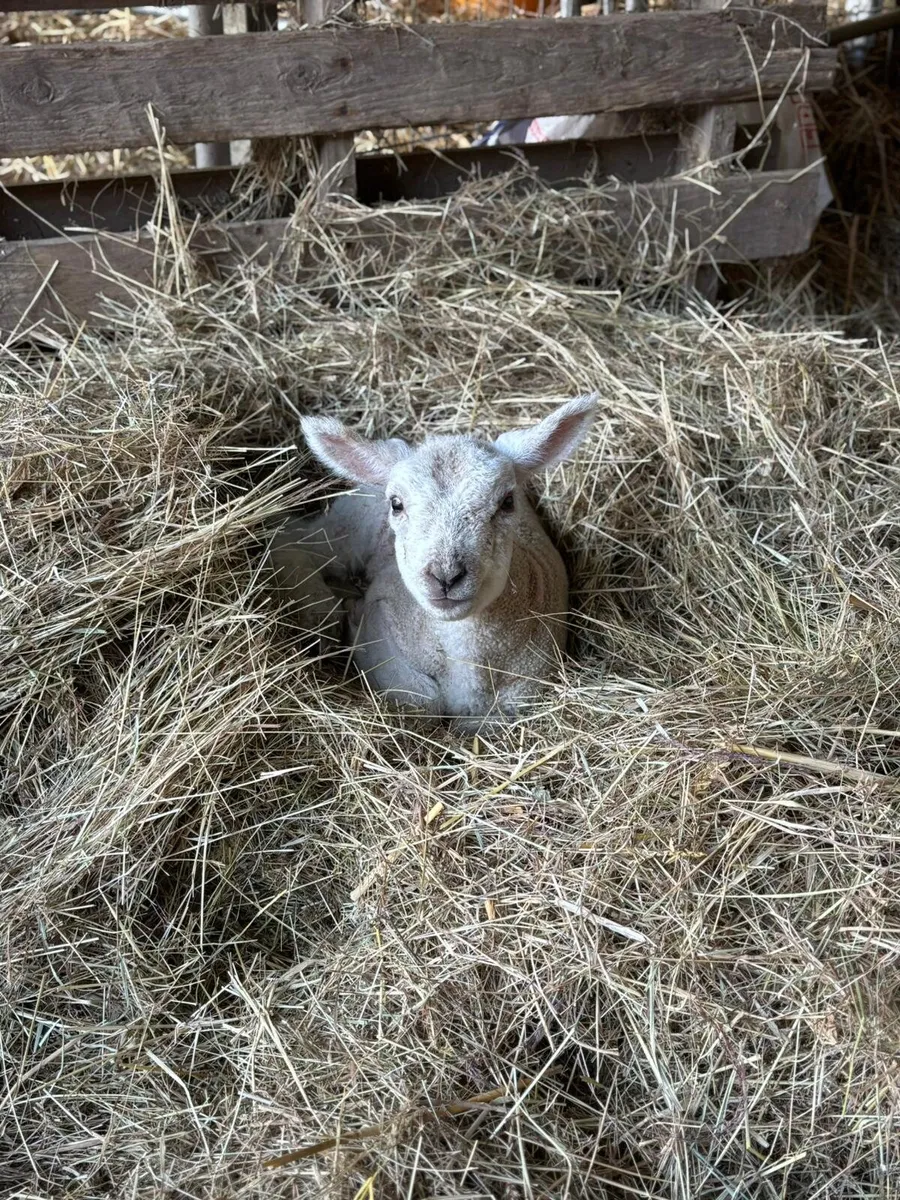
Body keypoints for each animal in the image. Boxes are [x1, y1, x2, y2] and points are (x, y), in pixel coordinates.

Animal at [270, 394, 597, 723]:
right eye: (396, 504)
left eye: (507, 502)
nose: (446, 576)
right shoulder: (383, 624)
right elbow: (423, 700)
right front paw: (351, 619)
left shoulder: (527, 686)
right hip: (350, 526)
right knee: (291, 539)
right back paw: (319, 610)